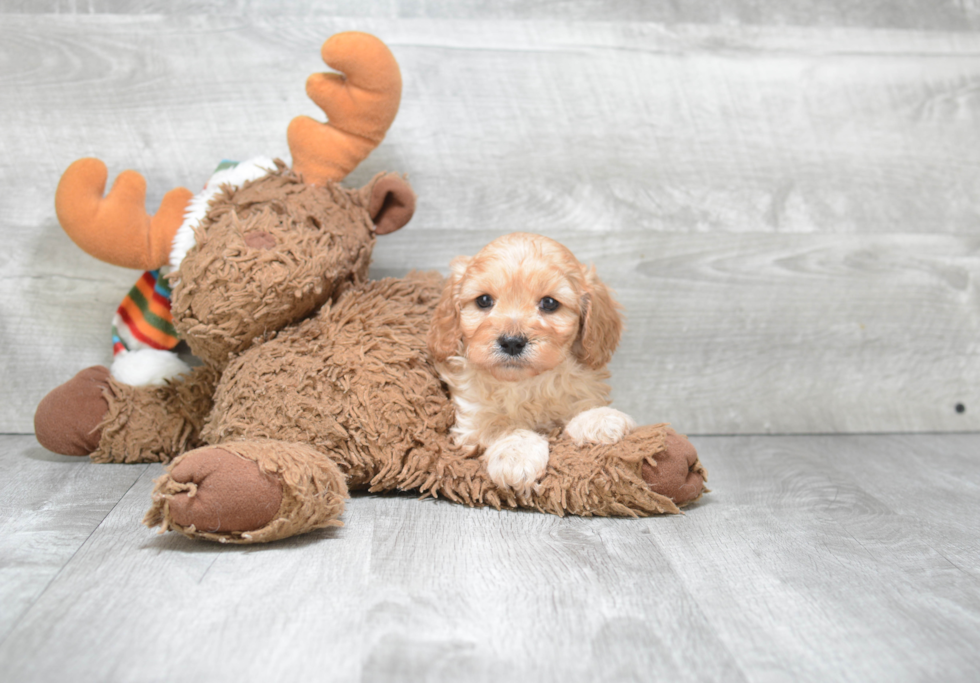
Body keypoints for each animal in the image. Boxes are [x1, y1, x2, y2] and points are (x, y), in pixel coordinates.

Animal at [426, 232, 636, 494]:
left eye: (549, 303)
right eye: (483, 300)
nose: (512, 342)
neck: (526, 382)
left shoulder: (583, 387)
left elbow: (581, 405)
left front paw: (599, 419)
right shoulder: (471, 419)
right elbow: (500, 424)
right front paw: (517, 455)